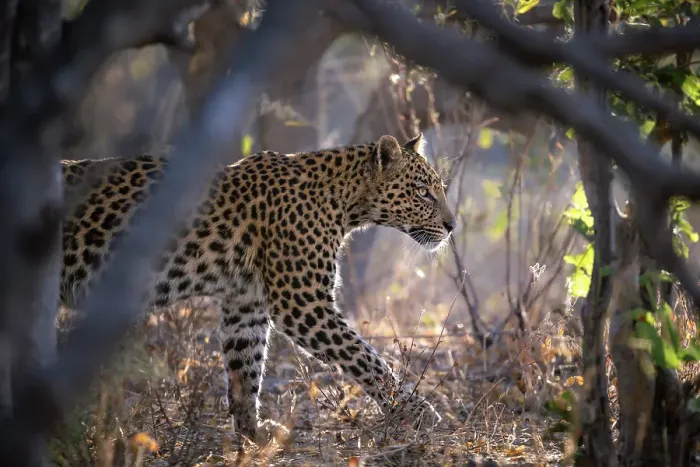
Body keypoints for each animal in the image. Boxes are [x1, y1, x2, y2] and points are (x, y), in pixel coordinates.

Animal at [59, 133, 456, 445]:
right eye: (423, 193)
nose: (452, 226)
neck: (344, 203)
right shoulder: (303, 304)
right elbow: (366, 358)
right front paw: (415, 410)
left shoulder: (246, 302)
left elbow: (245, 368)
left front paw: (254, 433)